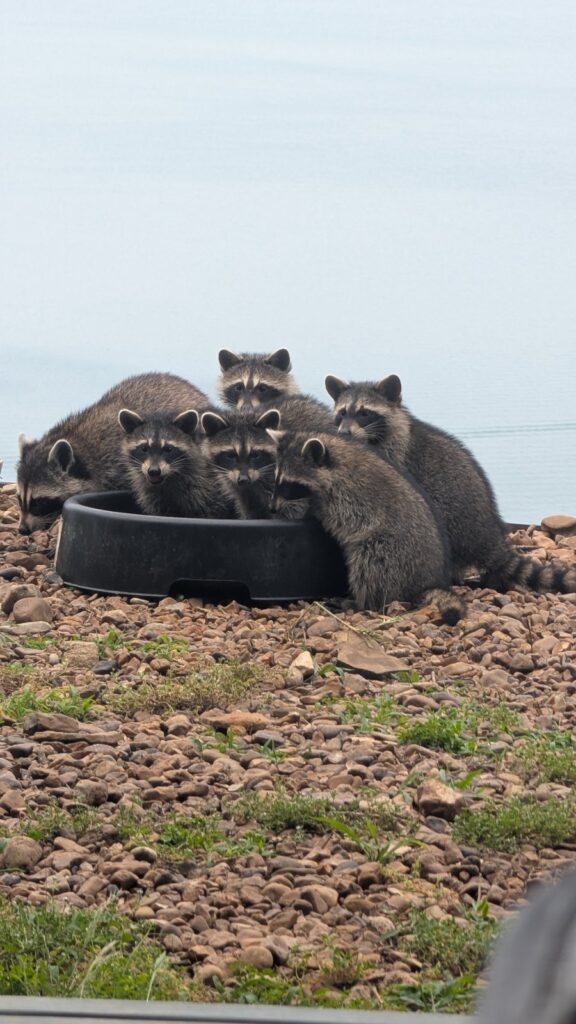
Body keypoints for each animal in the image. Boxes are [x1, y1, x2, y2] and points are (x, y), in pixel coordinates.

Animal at [270, 430, 462, 624]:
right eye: (277, 480)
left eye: (288, 485)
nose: (272, 508)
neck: (335, 460)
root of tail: (428, 581)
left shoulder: (348, 496)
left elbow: (344, 518)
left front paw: (309, 511)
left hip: (394, 552)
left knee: (370, 566)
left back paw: (360, 603)